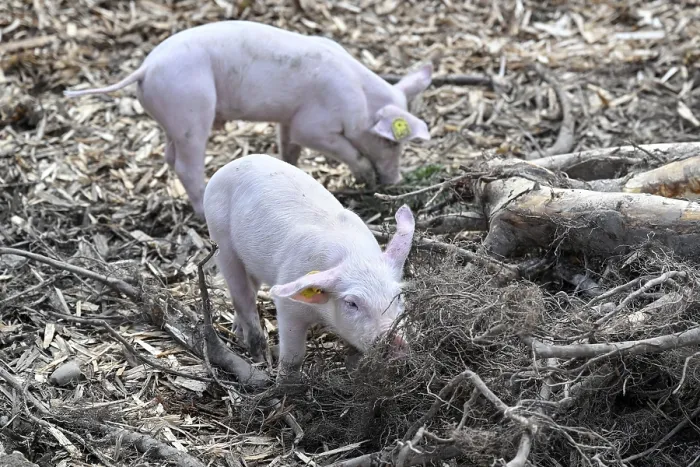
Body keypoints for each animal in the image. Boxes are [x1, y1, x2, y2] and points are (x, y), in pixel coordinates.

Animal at [63, 20, 433, 219]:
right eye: (390, 142)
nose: (396, 181)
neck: (360, 100)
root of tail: (145, 68)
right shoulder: (315, 125)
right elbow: (340, 147)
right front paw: (366, 176)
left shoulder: (288, 119)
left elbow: (289, 148)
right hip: (191, 108)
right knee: (186, 164)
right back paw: (201, 211)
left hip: (175, 116)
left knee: (170, 155)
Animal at [203, 153, 414, 380]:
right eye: (351, 303)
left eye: (398, 296)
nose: (396, 340)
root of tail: (232, 164)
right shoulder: (288, 306)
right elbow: (293, 357)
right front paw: (284, 384)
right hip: (221, 240)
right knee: (242, 295)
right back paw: (258, 354)